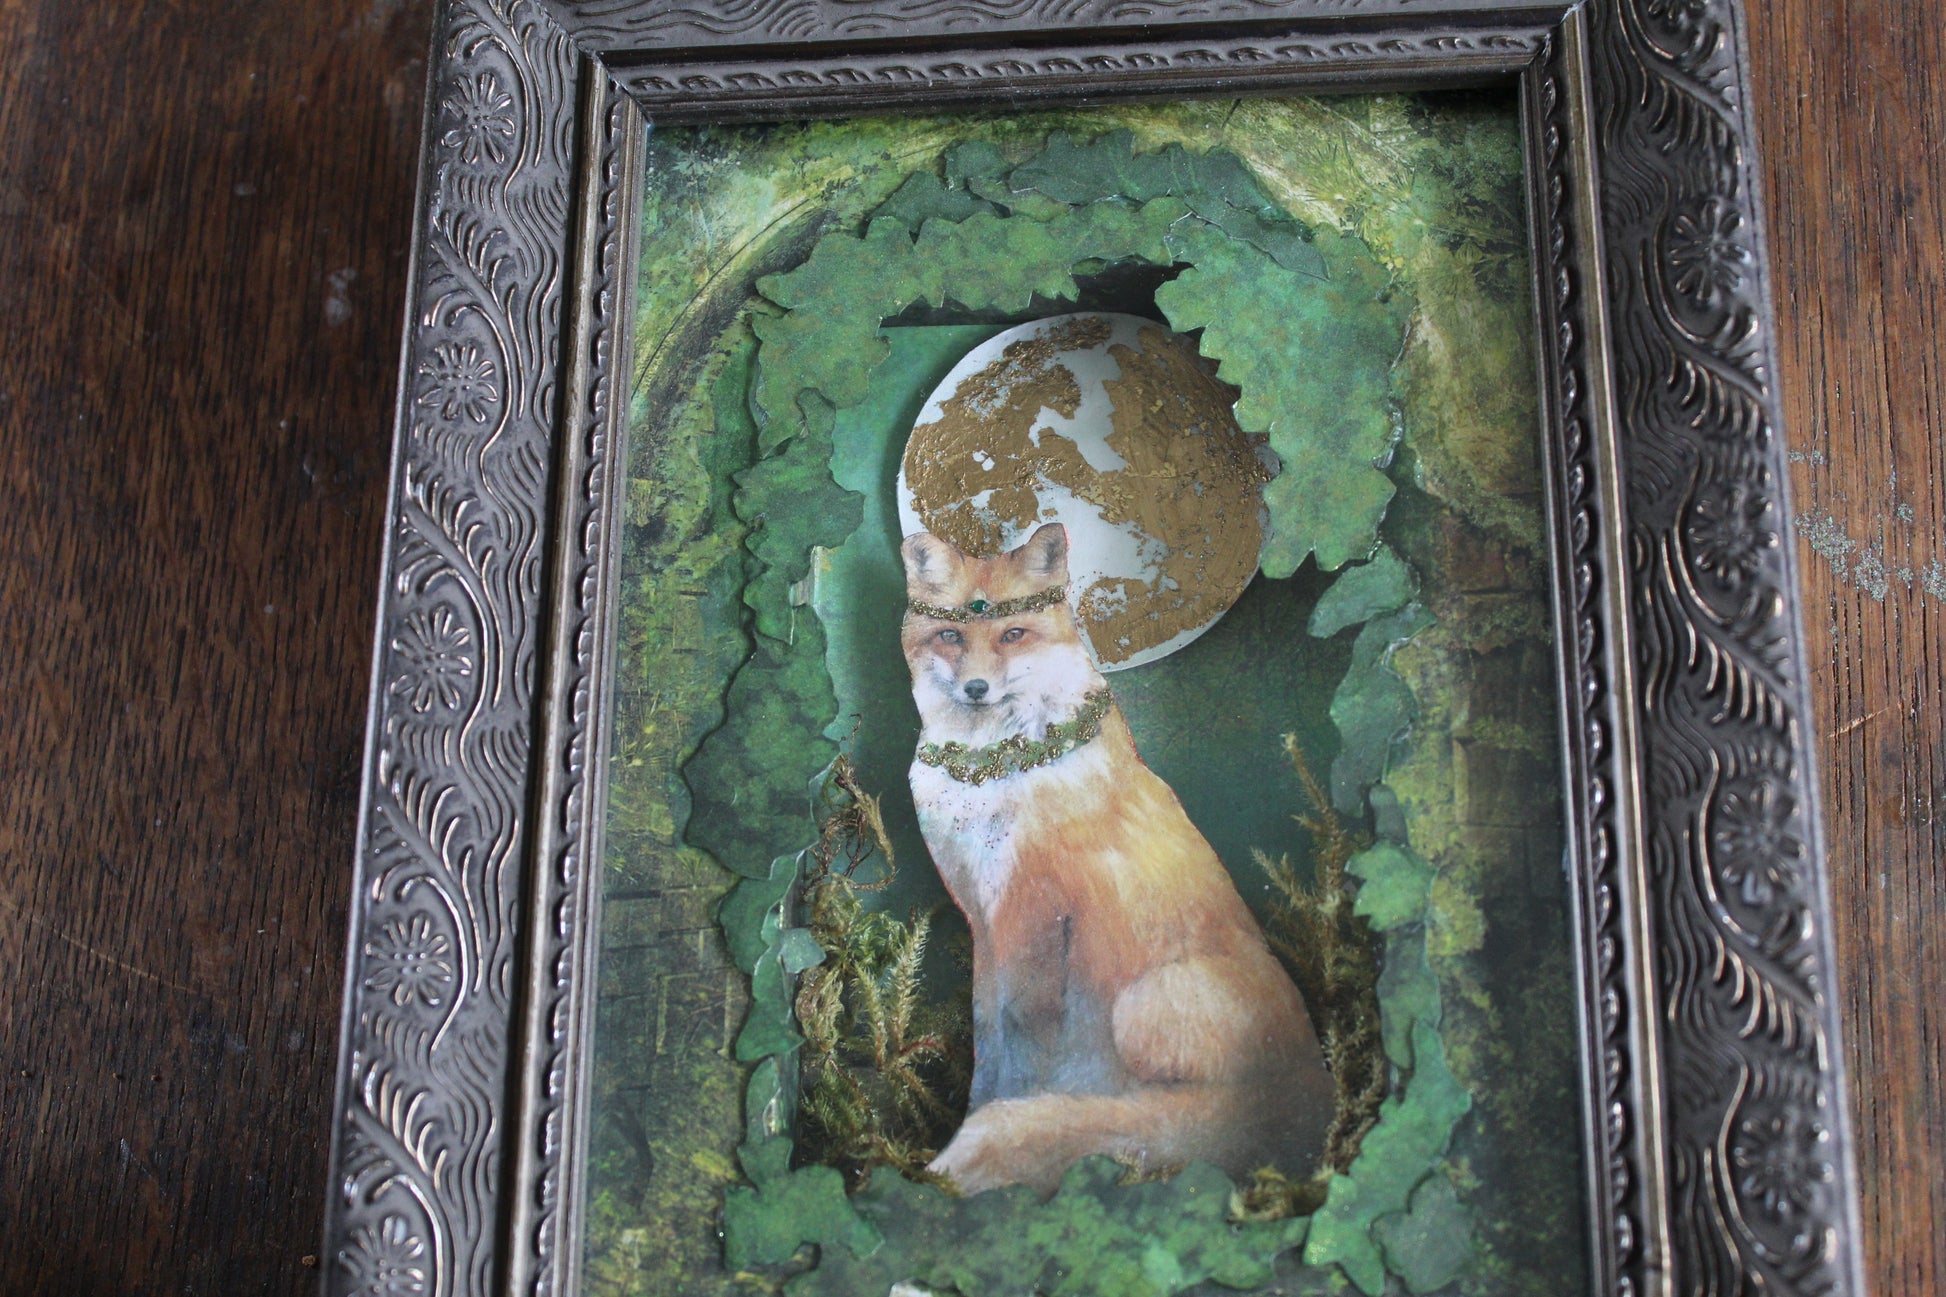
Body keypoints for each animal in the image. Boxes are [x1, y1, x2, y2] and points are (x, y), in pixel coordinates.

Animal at [901, 522, 1335, 1196]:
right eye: (951, 635)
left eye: (1011, 634)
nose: (976, 688)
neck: (992, 769)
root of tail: (1310, 1106)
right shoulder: (982, 920)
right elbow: (988, 1037)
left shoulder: (1030, 916)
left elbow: (1016, 1055)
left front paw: (974, 1138)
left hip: (1143, 1004)